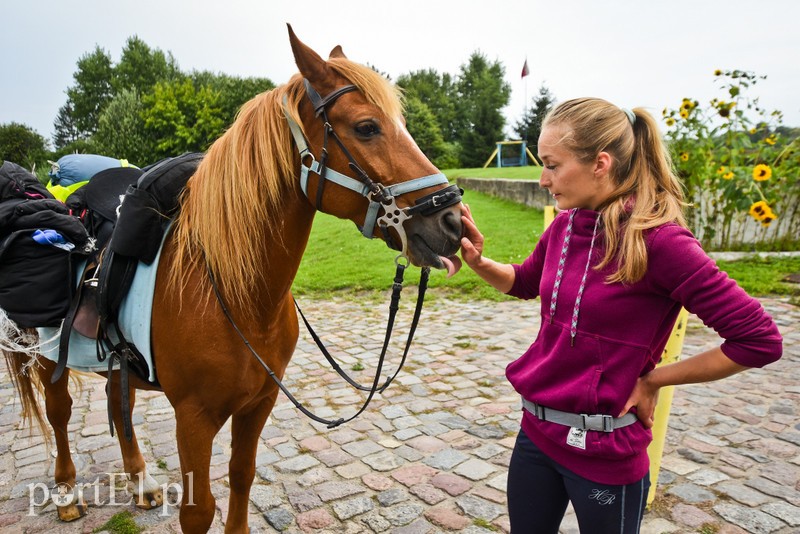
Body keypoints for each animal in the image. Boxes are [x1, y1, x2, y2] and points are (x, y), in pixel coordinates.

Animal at [3, 27, 462, 532]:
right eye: (366, 127)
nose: (454, 221)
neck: (237, 296)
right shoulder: (194, 417)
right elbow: (199, 509)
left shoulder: (259, 403)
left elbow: (242, 475)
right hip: (44, 354)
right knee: (59, 412)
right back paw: (66, 492)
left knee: (114, 401)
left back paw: (141, 482)